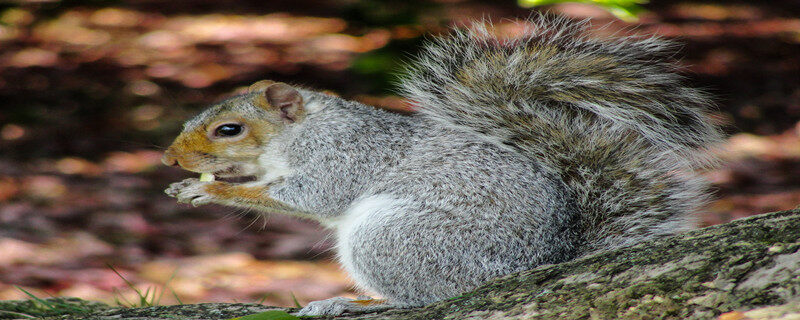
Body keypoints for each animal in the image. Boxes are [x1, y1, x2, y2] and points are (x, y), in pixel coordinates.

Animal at [162, 14, 724, 316]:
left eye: (229, 129)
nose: (170, 158)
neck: (300, 133)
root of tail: (540, 261)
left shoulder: (343, 155)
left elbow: (312, 197)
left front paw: (212, 190)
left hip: (395, 239)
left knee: (422, 300)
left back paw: (355, 303)